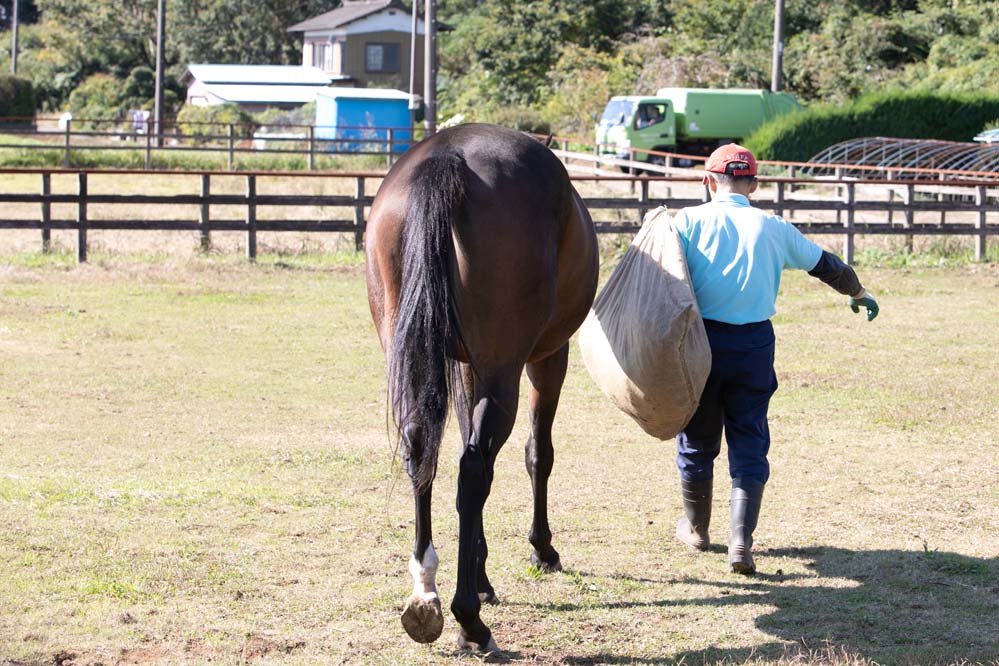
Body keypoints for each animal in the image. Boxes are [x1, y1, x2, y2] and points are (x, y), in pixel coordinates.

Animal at [368, 123, 600, 648]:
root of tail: (448, 156)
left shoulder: (465, 366)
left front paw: (481, 573)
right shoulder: (547, 358)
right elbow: (538, 454)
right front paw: (541, 549)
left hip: (408, 350)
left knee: (423, 449)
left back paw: (425, 593)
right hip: (507, 369)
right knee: (474, 470)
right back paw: (469, 620)